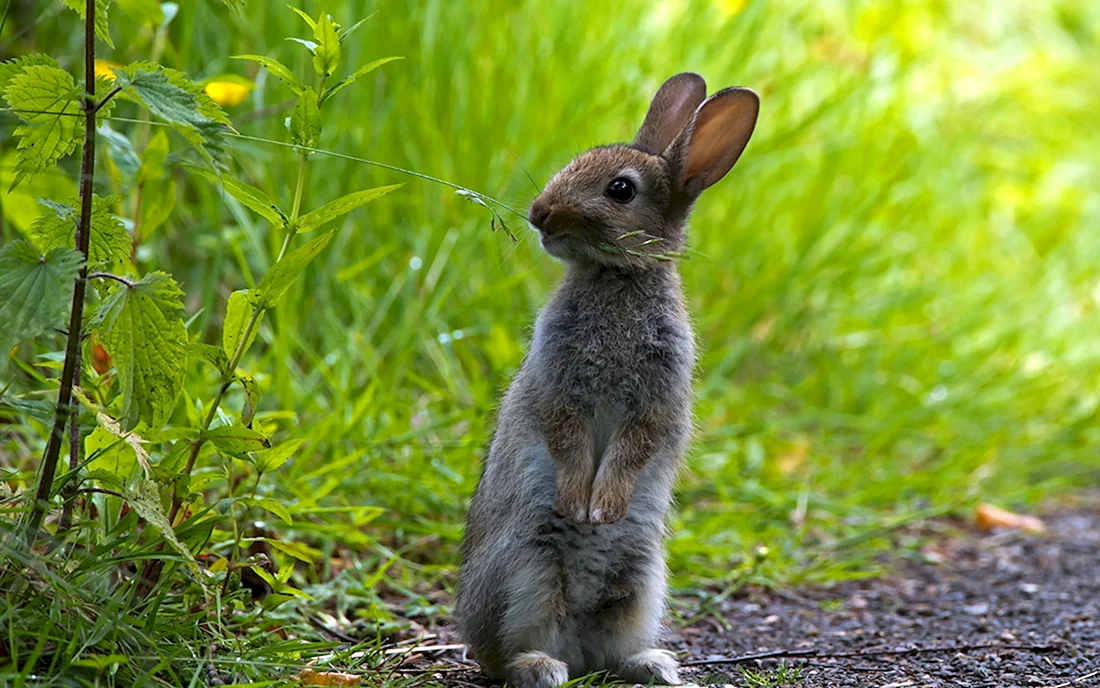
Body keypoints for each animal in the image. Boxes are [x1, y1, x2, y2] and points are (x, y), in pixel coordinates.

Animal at [456, 72, 759, 688]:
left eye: (621, 190)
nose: (539, 214)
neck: (617, 276)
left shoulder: (656, 401)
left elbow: (634, 446)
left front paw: (603, 511)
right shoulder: (559, 387)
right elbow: (567, 436)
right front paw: (580, 506)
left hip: (640, 580)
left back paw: (652, 664)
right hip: (527, 567)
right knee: (501, 654)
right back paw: (541, 667)